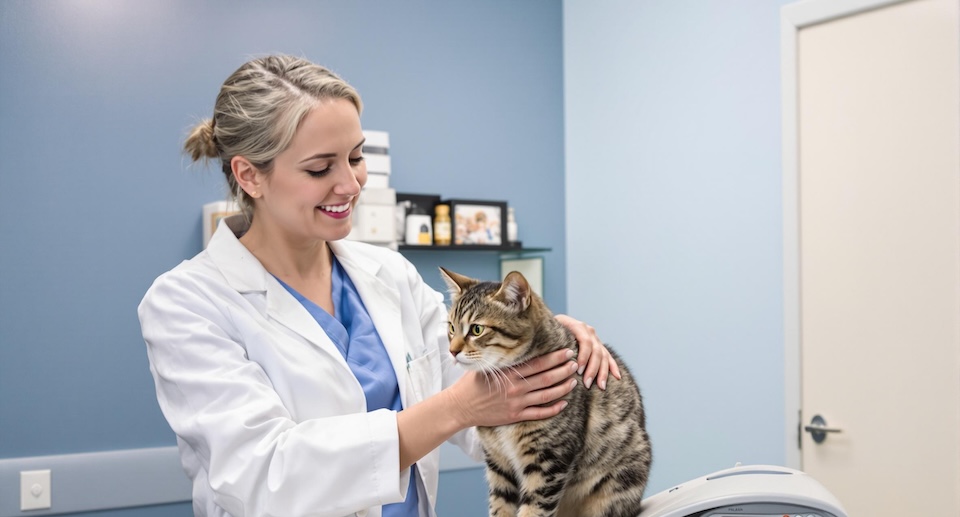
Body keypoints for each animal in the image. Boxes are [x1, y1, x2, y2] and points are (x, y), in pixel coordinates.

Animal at [440, 266, 652, 516]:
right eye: (451, 328)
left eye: (477, 329)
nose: (452, 351)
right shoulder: (498, 462)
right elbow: (500, 505)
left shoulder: (548, 459)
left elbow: (533, 508)